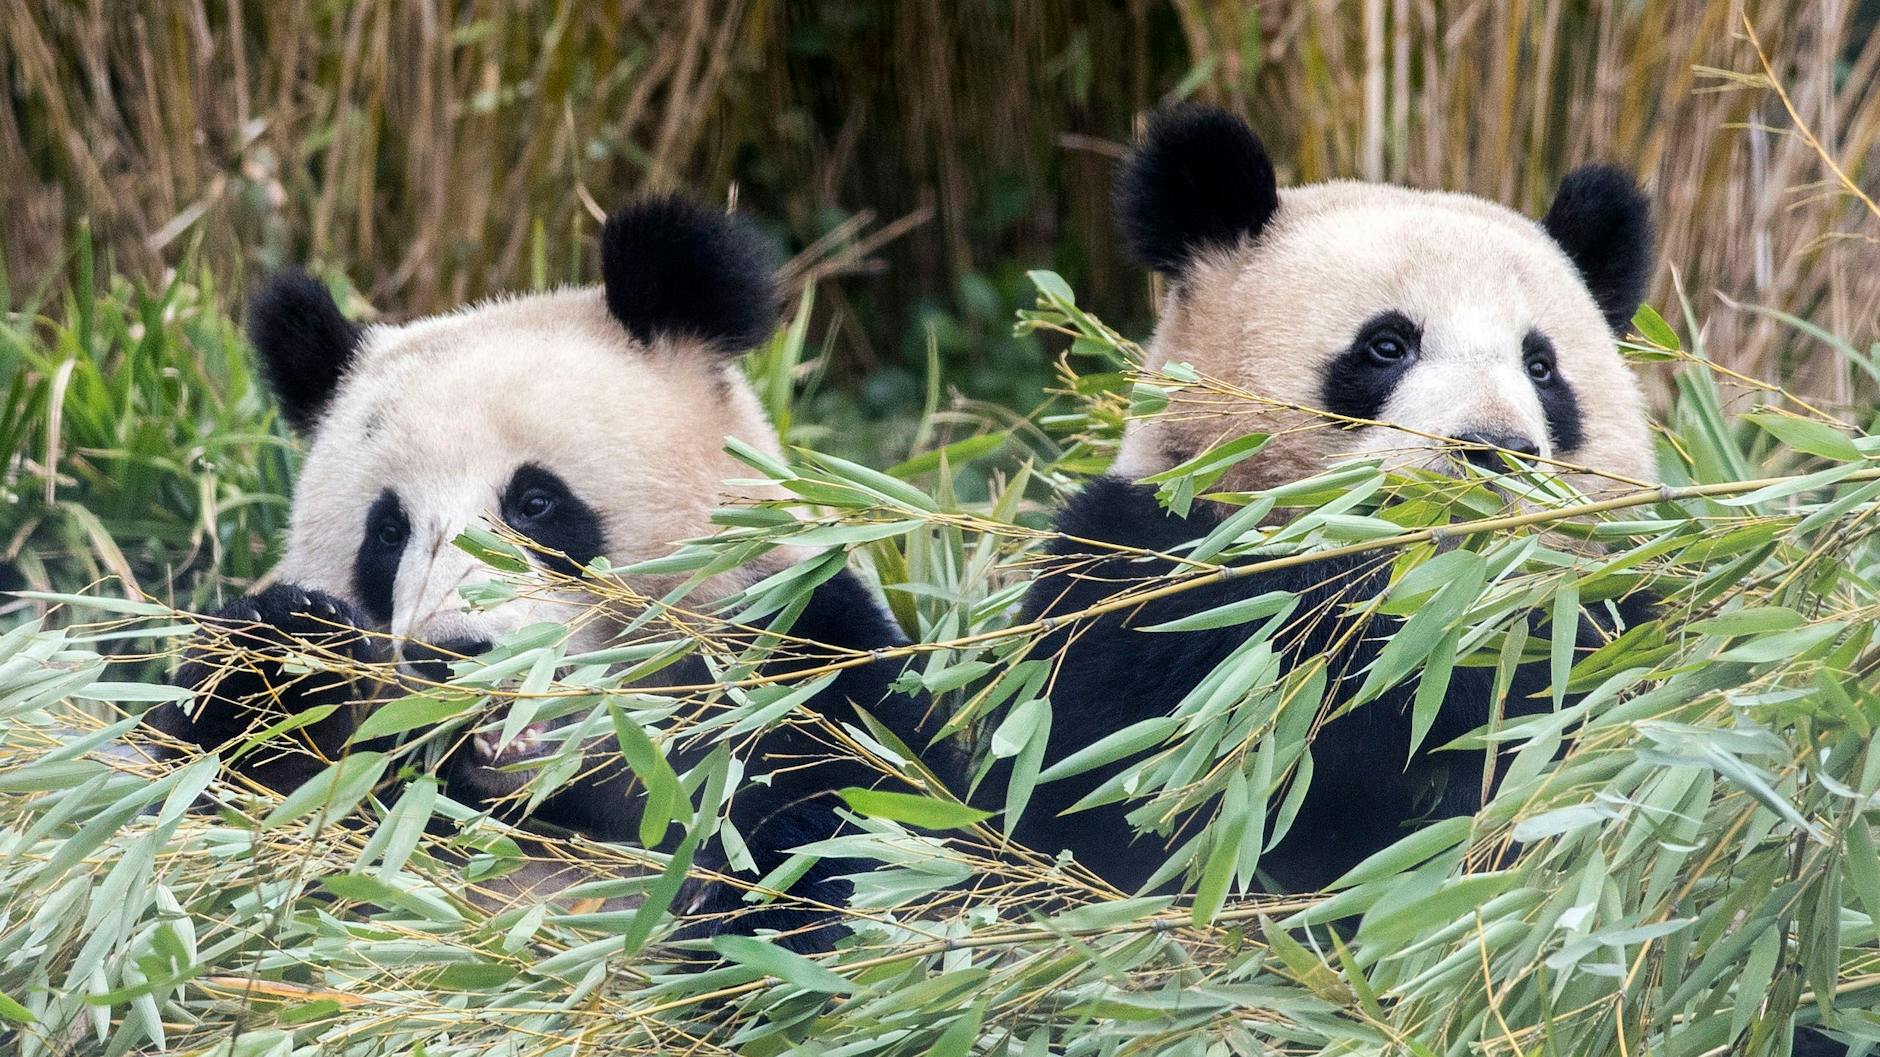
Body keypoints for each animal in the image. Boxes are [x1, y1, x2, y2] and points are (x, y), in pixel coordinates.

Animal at [146, 195, 955, 952]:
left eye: (535, 503)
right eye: (388, 533)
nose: (452, 653)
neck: (543, 798)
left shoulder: (803, 662)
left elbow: (878, 830)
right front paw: (285, 657)